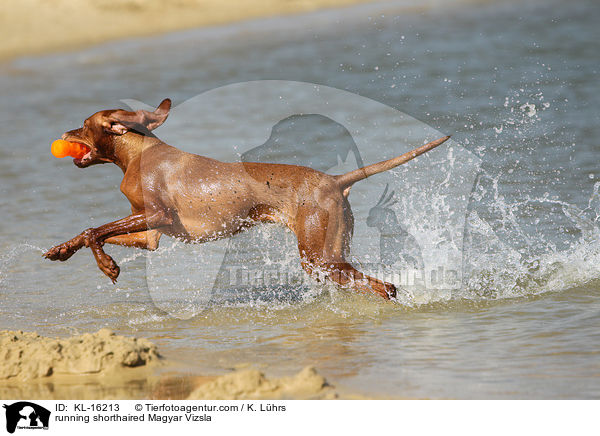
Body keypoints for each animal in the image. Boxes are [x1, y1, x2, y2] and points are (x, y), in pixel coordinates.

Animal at [44, 99, 450, 300]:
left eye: (83, 125)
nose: (63, 133)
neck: (137, 152)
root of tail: (335, 180)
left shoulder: (158, 215)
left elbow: (96, 230)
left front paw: (107, 266)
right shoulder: (151, 235)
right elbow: (89, 232)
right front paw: (61, 250)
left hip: (319, 257)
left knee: (385, 286)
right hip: (330, 251)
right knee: (380, 284)